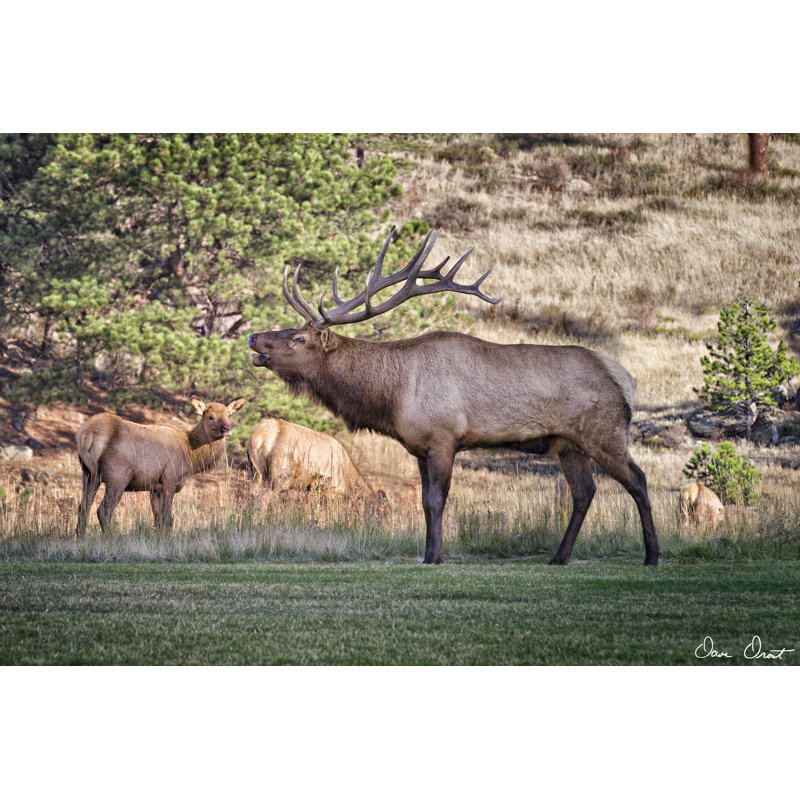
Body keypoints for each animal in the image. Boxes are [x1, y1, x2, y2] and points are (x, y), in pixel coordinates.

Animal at [75, 395, 246, 536]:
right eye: (210, 417)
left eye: (228, 415)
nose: (227, 428)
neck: (191, 455)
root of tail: (87, 434)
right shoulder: (169, 479)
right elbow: (168, 519)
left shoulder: (155, 487)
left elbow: (157, 519)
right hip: (117, 476)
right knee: (103, 510)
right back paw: (111, 537)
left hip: (89, 473)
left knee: (83, 507)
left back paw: (81, 539)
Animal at [248, 227, 661, 566]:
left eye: (299, 339)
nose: (253, 337)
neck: (392, 395)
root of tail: (626, 378)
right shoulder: (419, 447)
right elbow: (425, 503)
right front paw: (429, 554)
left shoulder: (444, 437)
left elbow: (437, 500)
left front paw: (435, 556)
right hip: (568, 443)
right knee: (584, 492)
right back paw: (559, 558)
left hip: (604, 433)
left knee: (638, 481)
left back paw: (651, 556)